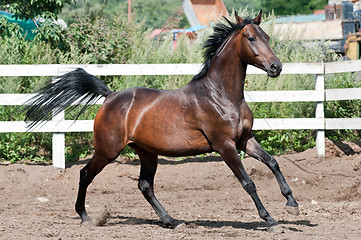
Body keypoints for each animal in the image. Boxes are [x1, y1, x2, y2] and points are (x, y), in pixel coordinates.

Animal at [25, 10, 298, 232]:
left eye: (267, 37)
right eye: (251, 38)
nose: (276, 67)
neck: (221, 95)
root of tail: (110, 96)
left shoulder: (244, 139)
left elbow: (272, 162)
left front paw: (292, 202)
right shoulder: (225, 145)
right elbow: (248, 182)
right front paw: (270, 220)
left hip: (147, 152)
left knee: (145, 186)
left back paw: (172, 221)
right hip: (107, 151)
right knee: (85, 174)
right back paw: (85, 216)